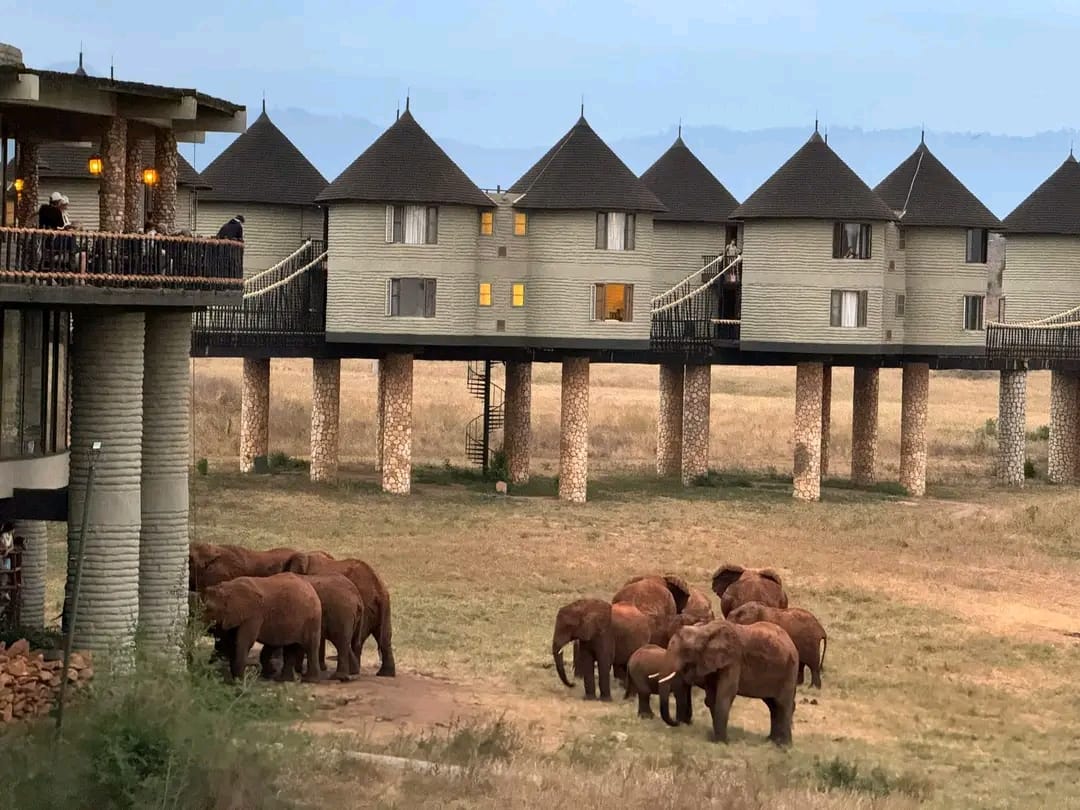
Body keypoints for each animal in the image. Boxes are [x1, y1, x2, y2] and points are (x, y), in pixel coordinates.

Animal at [652, 622, 799, 747]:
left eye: (686, 650)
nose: (677, 723)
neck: (704, 630)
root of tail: (791, 642)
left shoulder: (733, 659)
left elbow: (725, 693)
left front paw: (722, 742)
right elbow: (712, 697)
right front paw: (715, 739)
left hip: (789, 670)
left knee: (783, 704)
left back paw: (783, 746)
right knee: (772, 705)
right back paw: (772, 741)